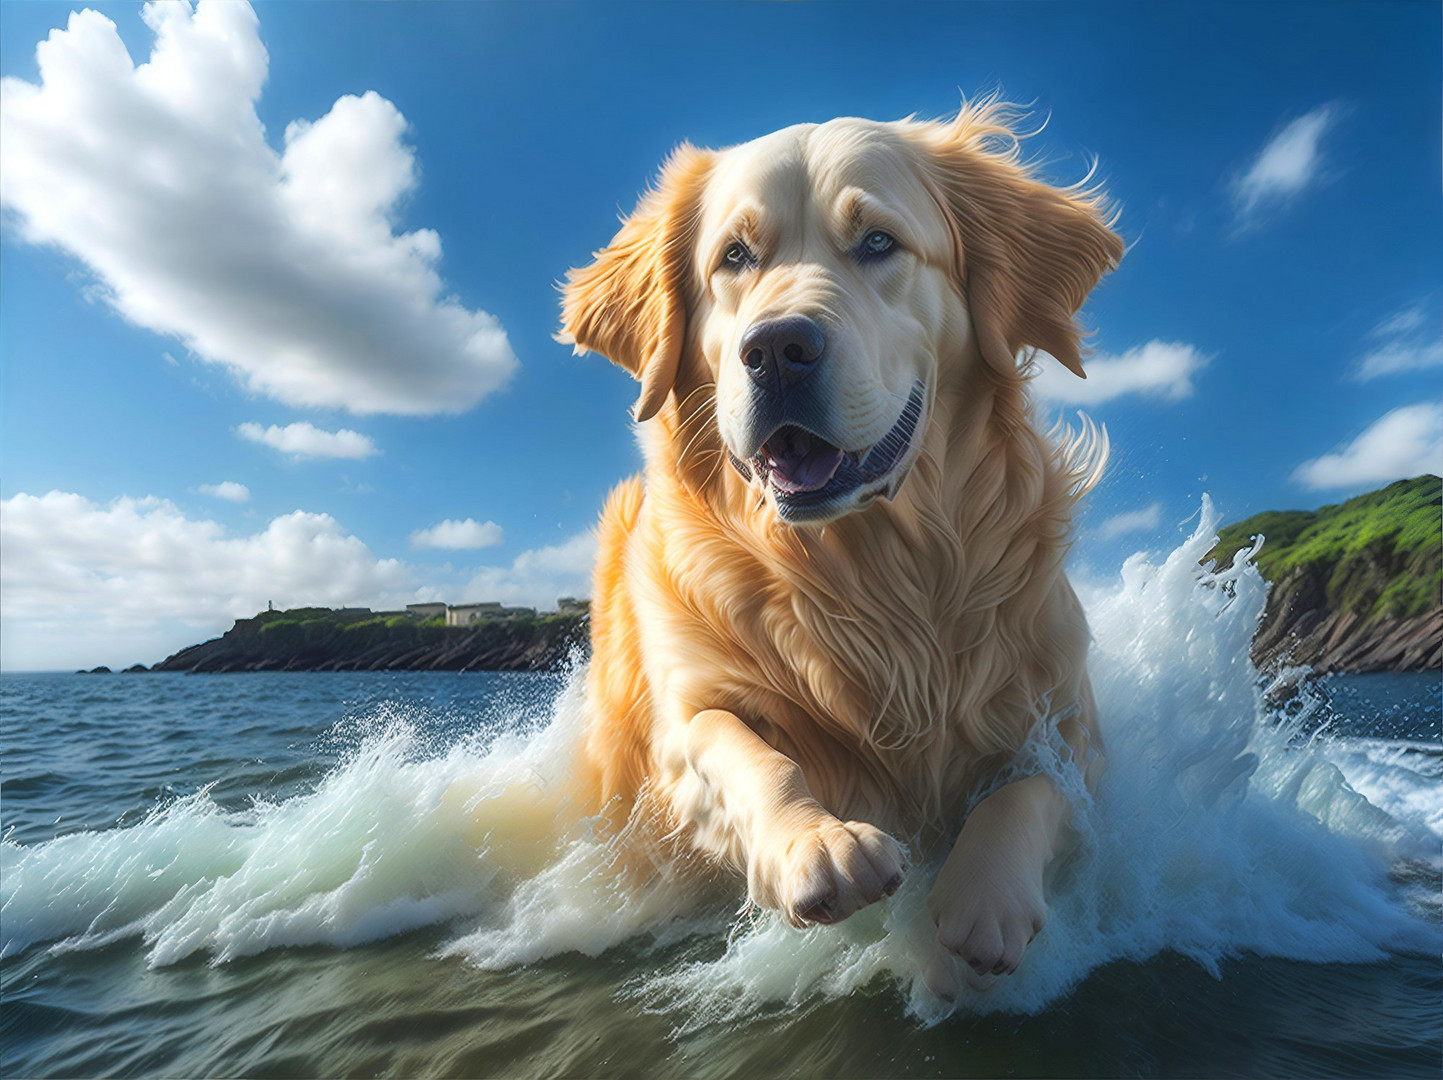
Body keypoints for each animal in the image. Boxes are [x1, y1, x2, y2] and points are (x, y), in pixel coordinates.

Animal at [556, 101, 1119, 993]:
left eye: (878, 242)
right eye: (734, 257)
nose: (776, 350)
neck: (866, 570)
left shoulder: (1070, 717)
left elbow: (1031, 788)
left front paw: (984, 896)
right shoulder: (683, 723)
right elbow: (746, 752)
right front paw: (816, 844)